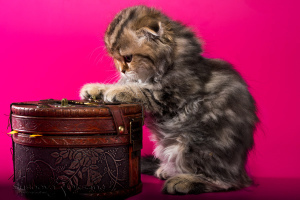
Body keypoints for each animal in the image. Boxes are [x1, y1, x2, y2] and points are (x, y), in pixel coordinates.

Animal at [79, 5, 258, 195]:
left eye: (128, 58)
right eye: (115, 58)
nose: (121, 70)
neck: (170, 63)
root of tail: (240, 169)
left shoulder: (169, 96)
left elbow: (141, 91)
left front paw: (116, 90)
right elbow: (130, 84)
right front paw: (94, 89)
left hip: (199, 145)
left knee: (225, 182)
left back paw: (184, 181)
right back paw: (167, 170)